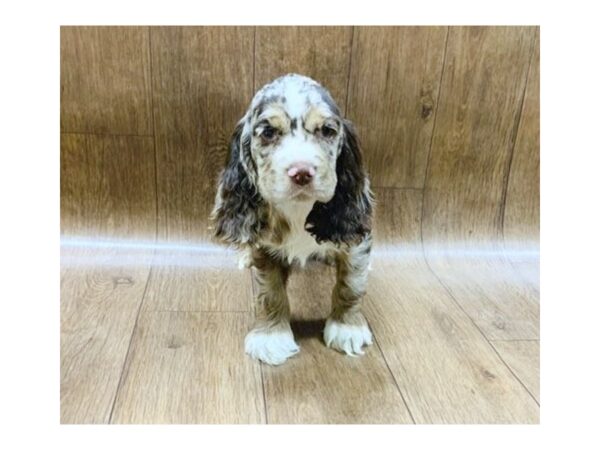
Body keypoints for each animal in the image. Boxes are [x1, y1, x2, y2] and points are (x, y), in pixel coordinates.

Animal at [210, 73, 370, 366]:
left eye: (327, 131)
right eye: (268, 133)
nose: (301, 172)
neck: (299, 209)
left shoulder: (356, 241)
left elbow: (351, 284)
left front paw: (347, 328)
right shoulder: (264, 247)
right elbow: (270, 292)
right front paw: (271, 336)